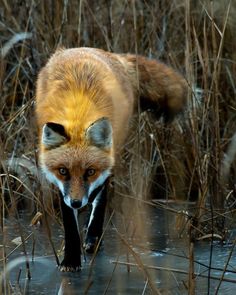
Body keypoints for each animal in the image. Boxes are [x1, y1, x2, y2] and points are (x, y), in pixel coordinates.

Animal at [35, 47, 188, 272]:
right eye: (63, 171)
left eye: (90, 171)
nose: (77, 202)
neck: (78, 112)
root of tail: (111, 54)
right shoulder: (63, 188)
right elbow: (69, 224)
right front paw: (71, 259)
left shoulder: (103, 168)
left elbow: (99, 198)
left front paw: (91, 237)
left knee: (102, 196)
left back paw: (92, 234)